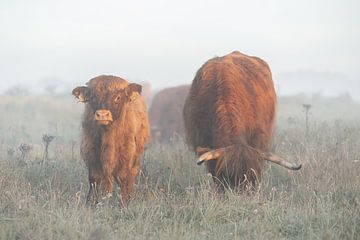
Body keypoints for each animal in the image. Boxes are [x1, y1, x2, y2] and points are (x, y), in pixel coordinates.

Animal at [71, 75, 149, 206]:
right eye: (93, 97)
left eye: (118, 97)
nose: (102, 114)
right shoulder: (90, 152)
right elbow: (94, 178)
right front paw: (91, 202)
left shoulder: (127, 154)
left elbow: (124, 177)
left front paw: (124, 203)